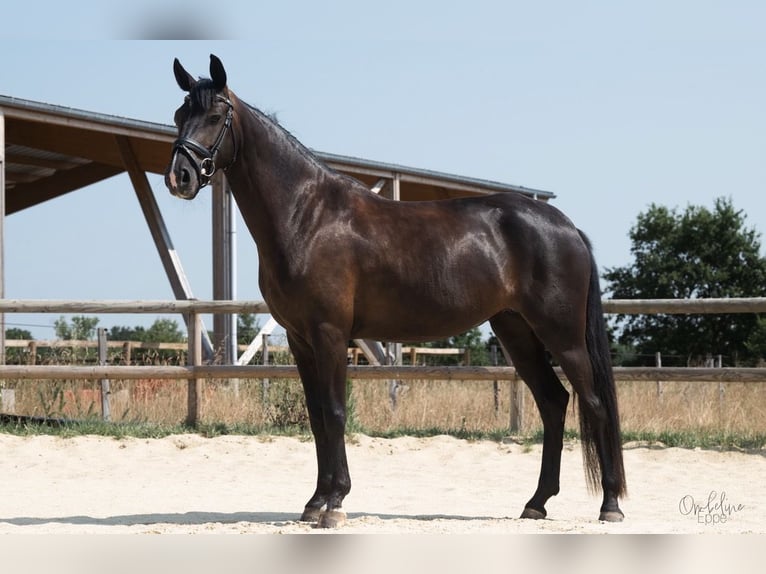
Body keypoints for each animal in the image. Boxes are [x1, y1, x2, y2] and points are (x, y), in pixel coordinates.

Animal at [164, 54, 626, 528]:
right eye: (180, 115)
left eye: (215, 116)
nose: (179, 177)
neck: (308, 215)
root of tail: (566, 227)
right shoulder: (299, 339)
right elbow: (315, 416)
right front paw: (315, 502)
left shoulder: (330, 334)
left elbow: (335, 412)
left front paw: (335, 503)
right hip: (516, 332)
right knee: (553, 403)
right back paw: (536, 502)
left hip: (563, 336)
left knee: (594, 404)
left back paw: (609, 505)